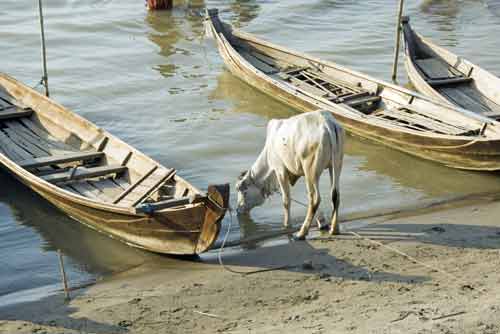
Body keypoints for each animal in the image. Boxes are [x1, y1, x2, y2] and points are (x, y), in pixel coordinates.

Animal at [236, 111, 346, 239]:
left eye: (243, 190)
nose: (238, 209)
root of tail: (327, 122)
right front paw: (322, 222)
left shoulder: (280, 170)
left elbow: (286, 200)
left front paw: (287, 225)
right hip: (336, 165)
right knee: (335, 195)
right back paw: (334, 229)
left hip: (310, 171)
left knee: (314, 199)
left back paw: (301, 233)